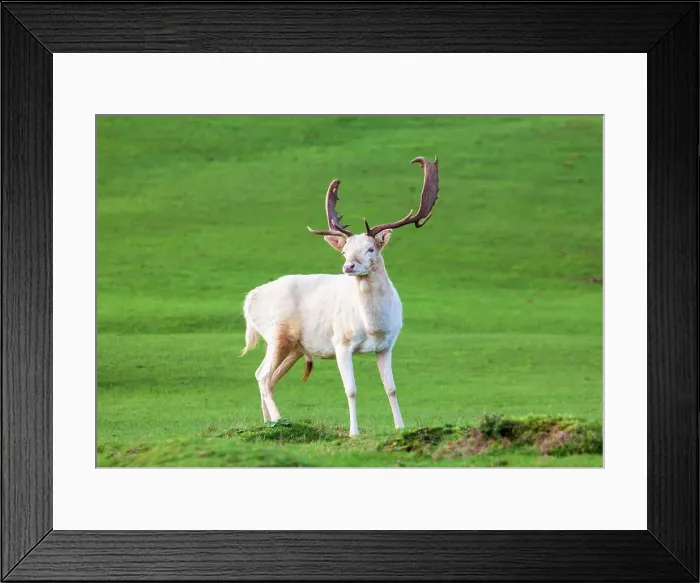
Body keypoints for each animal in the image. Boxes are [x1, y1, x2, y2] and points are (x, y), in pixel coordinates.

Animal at [240, 156, 439, 436]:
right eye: (345, 251)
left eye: (371, 248)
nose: (348, 266)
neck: (373, 326)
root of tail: (249, 300)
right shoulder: (341, 343)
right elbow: (351, 390)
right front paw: (354, 432)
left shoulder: (387, 345)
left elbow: (391, 388)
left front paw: (400, 426)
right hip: (277, 336)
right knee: (263, 376)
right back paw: (279, 420)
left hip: (294, 348)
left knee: (267, 377)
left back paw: (268, 422)